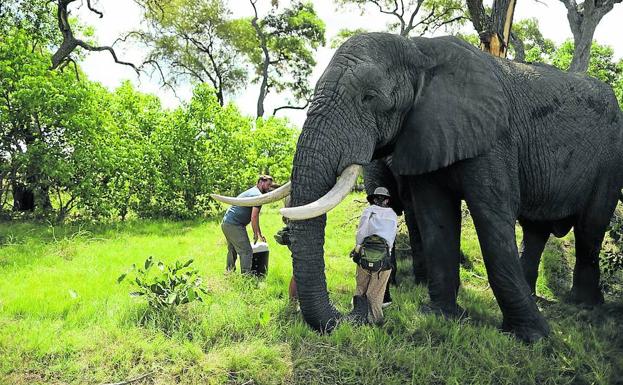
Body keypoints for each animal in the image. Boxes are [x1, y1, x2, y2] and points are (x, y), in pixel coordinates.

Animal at [214, 32, 623, 340]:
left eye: (370, 98)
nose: (354, 311)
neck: (418, 51)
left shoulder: (494, 137)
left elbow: (492, 220)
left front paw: (534, 338)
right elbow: (435, 218)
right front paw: (441, 316)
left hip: (610, 157)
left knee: (590, 229)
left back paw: (583, 306)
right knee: (537, 231)